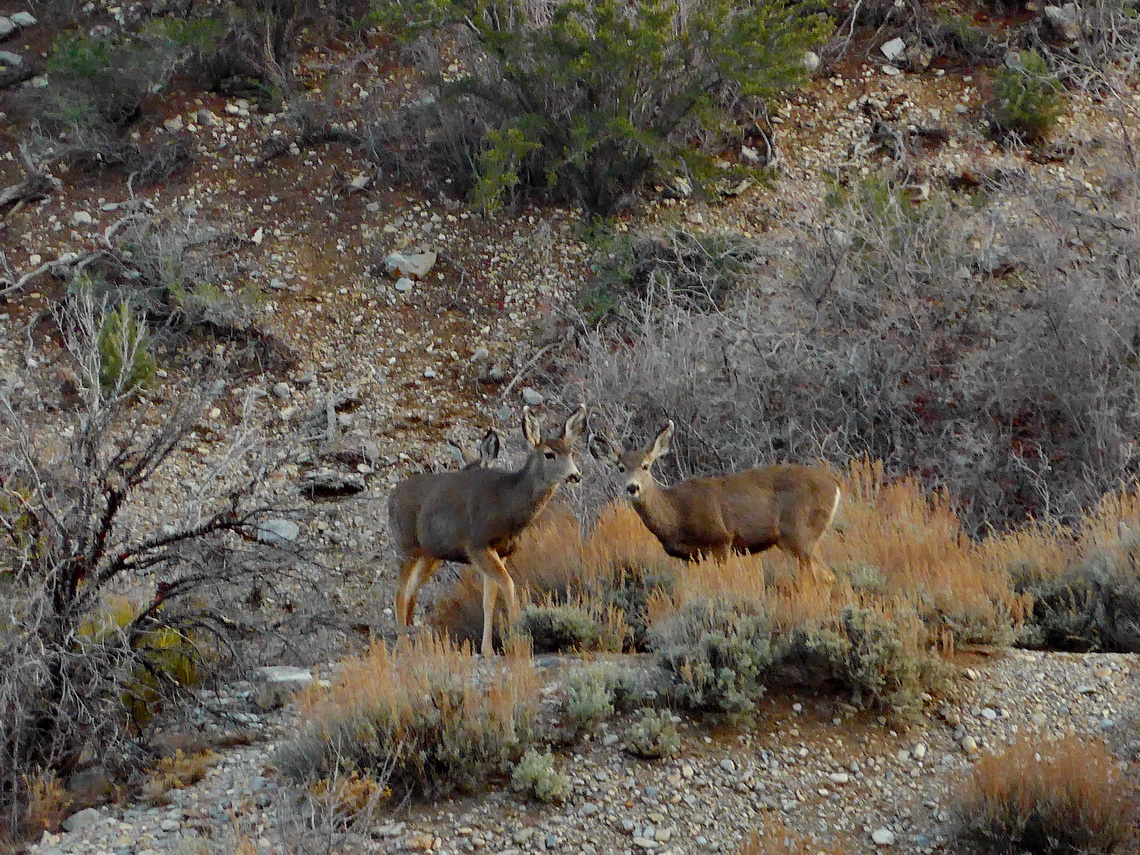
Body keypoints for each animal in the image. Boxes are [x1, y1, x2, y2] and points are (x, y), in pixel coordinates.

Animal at [389, 405, 588, 656]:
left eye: (571, 452)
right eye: (549, 454)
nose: (575, 475)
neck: (507, 503)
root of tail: (391, 497)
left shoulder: (501, 552)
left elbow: (488, 599)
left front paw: (487, 649)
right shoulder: (478, 545)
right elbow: (509, 586)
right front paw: (517, 641)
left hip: (430, 555)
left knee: (410, 592)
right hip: (407, 545)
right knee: (400, 592)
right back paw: (404, 647)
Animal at [592, 419, 843, 583]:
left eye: (646, 465)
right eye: (620, 468)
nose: (632, 487)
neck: (675, 514)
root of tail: (835, 485)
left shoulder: (721, 540)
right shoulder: (690, 557)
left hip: (800, 534)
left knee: (825, 575)